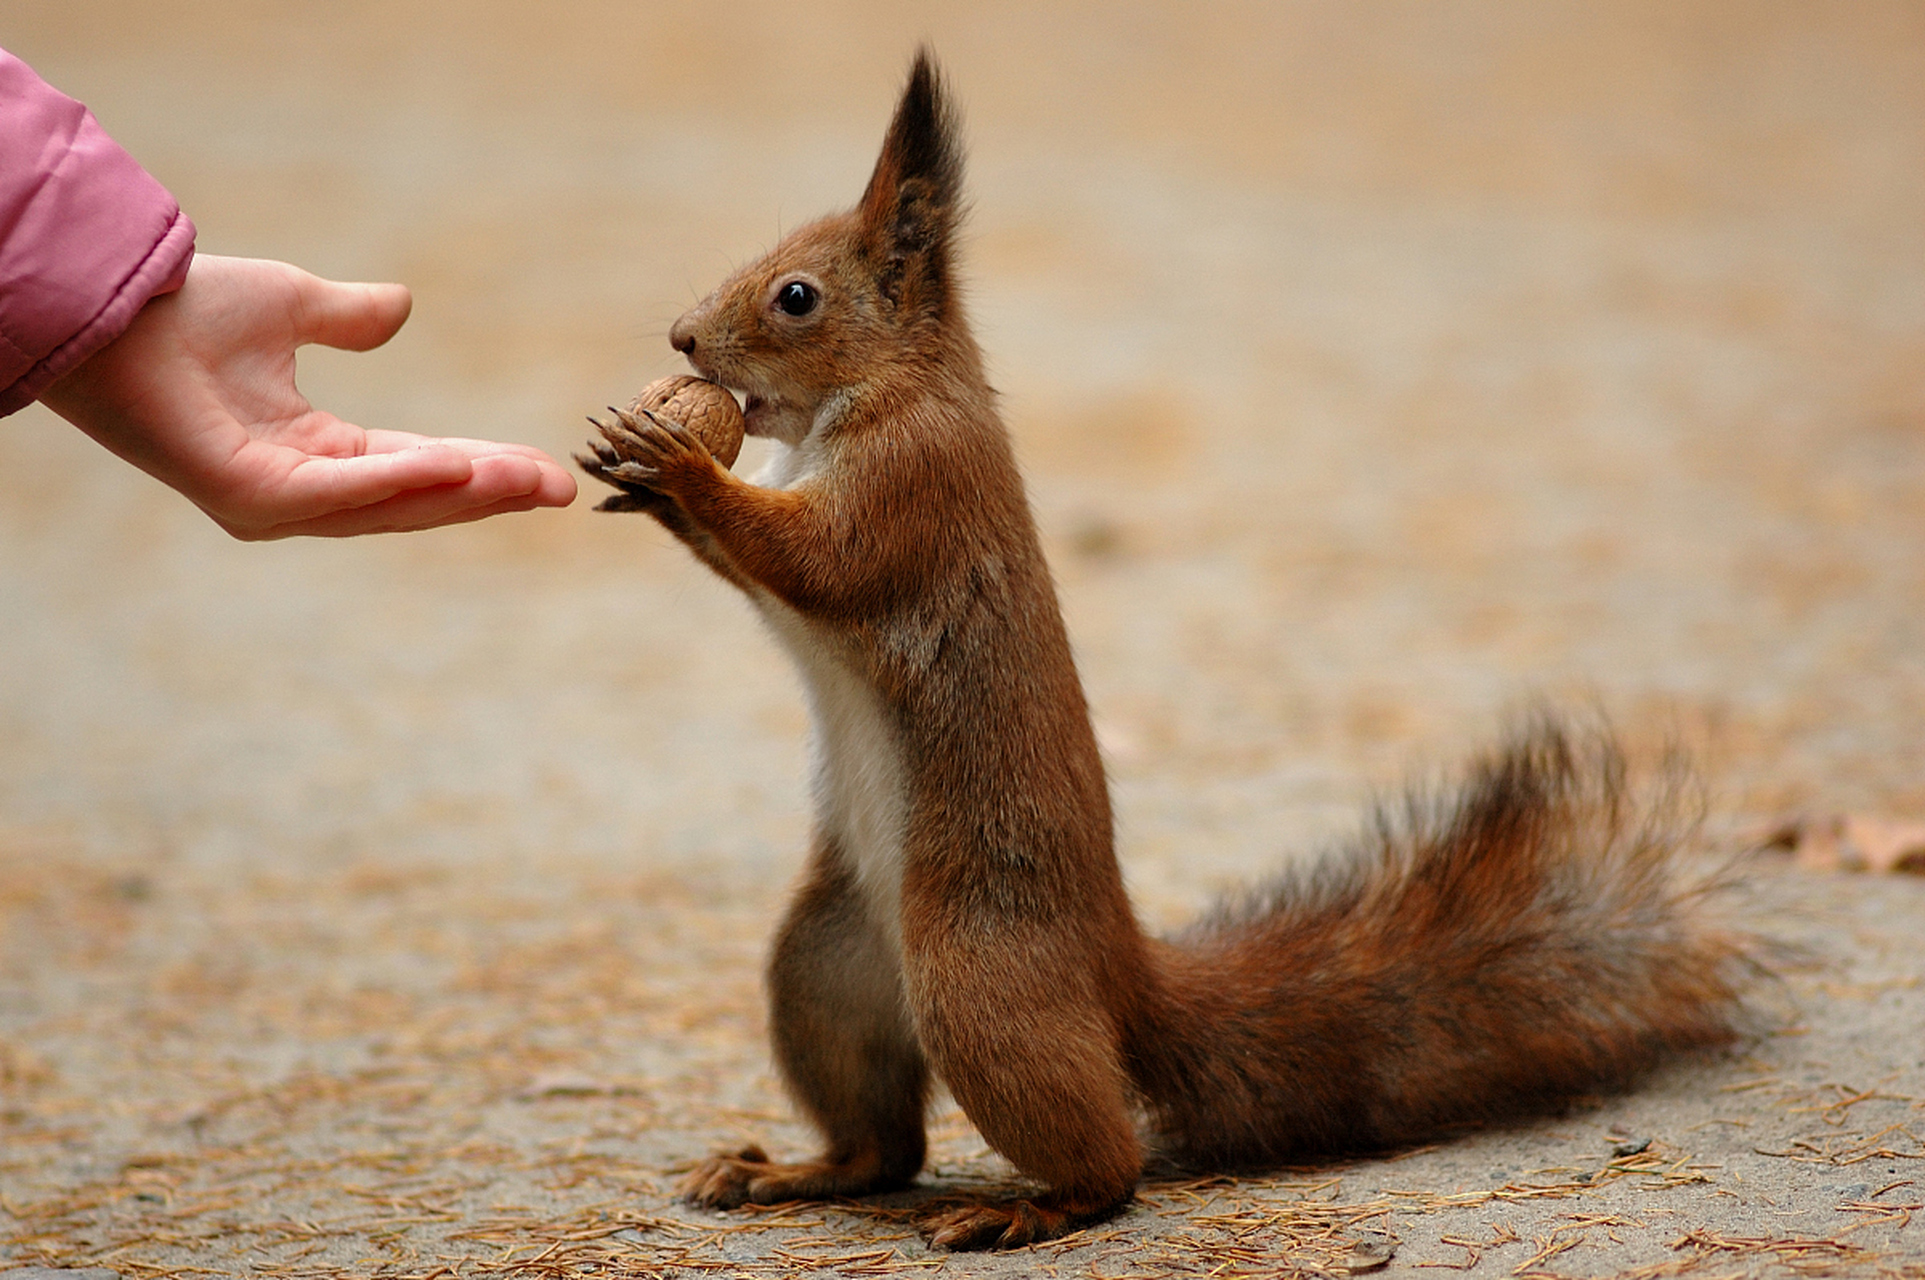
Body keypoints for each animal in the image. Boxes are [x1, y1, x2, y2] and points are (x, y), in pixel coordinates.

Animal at [573, 50, 1763, 1247]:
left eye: (796, 296)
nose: (680, 339)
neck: (874, 396)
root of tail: (1115, 968)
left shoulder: (915, 485)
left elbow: (818, 559)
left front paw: (680, 465)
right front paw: (643, 474)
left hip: (977, 980)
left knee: (1106, 1158)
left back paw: (1028, 1208)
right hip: (824, 964)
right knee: (883, 1145)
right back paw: (789, 1172)